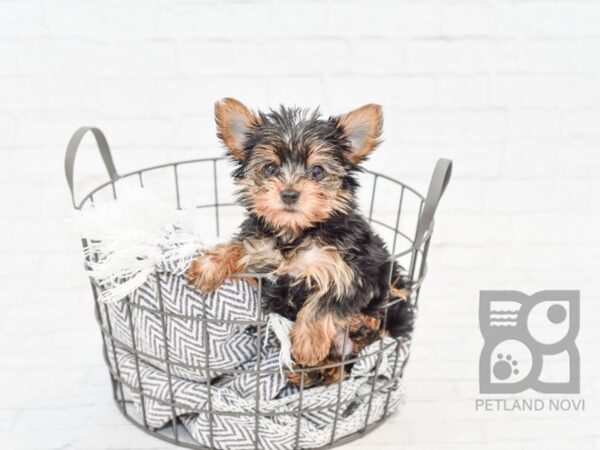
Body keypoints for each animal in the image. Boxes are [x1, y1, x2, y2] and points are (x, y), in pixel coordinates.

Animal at [188, 100, 412, 384]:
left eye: (317, 171)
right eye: (270, 168)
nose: (289, 194)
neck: (296, 231)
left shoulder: (359, 269)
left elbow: (328, 299)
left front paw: (307, 345)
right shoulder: (261, 253)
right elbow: (240, 245)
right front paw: (208, 266)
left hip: (392, 291)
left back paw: (360, 327)